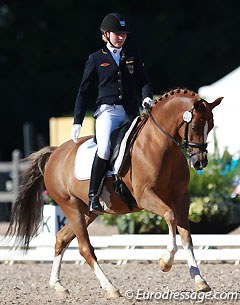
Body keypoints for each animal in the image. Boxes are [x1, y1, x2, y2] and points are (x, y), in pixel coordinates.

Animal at [7, 88, 221, 296]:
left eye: (210, 126)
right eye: (194, 126)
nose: (200, 162)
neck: (160, 145)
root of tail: (55, 153)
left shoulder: (181, 198)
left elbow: (186, 236)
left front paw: (200, 280)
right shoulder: (145, 196)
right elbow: (170, 216)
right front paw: (165, 262)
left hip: (87, 212)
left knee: (62, 238)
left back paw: (58, 285)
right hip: (71, 206)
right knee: (85, 248)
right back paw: (110, 288)